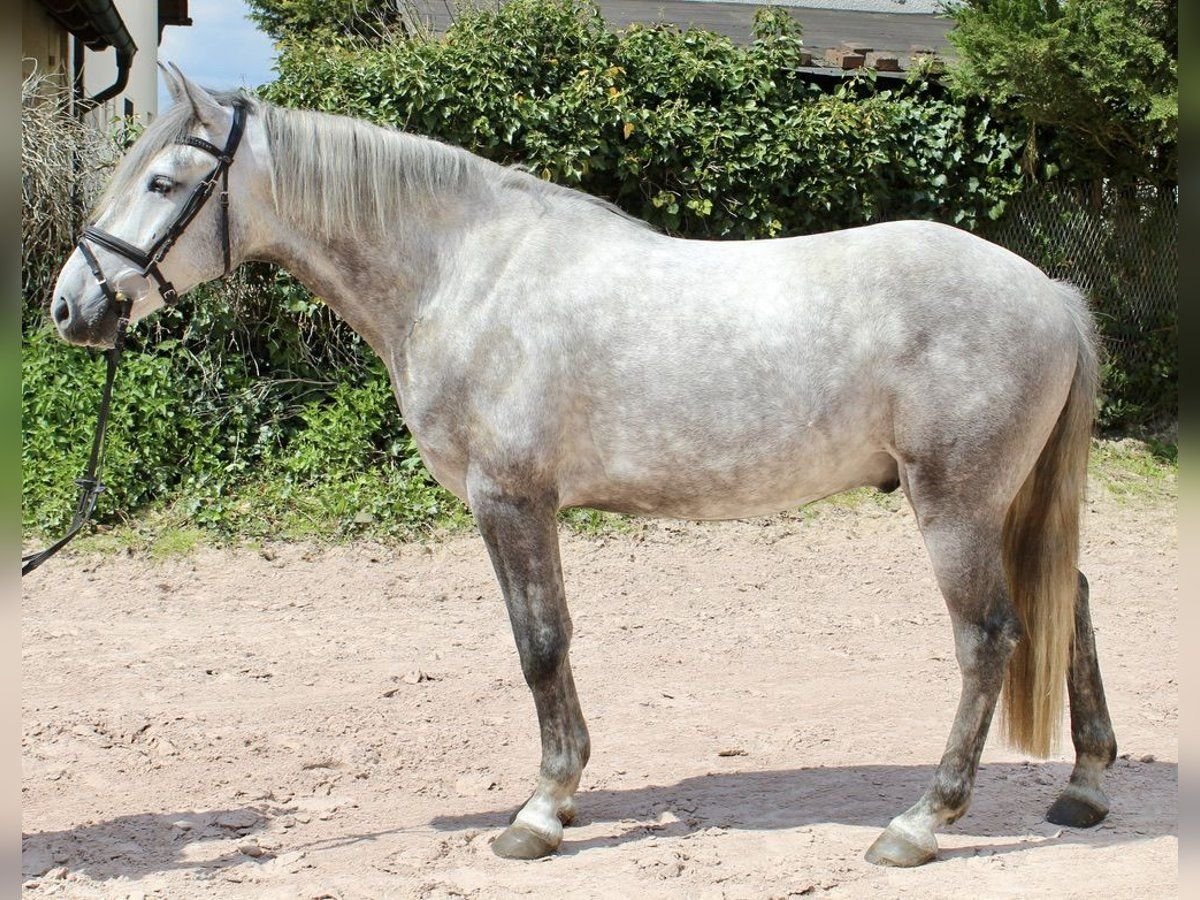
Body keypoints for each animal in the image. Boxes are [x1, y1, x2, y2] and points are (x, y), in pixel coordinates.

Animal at [46, 70, 1113, 868]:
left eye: (161, 182)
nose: (69, 308)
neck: (463, 275)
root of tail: (1052, 295)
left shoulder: (511, 500)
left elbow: (541, 646)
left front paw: (541, 811)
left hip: (956, 505)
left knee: (988, 639)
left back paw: (921, 823)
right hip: (1007, 504)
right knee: (1069, 601)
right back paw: (1086, 785)